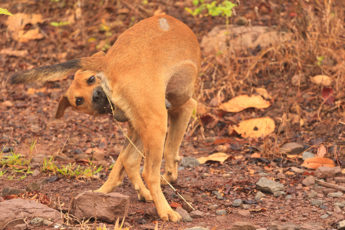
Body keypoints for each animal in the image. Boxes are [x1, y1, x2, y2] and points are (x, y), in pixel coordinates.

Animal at [10, 14, 199, 223]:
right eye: (79, 100)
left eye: (91, 79)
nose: (96, 96)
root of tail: (109, 62)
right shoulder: (184, 108)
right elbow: (171, 148)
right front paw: (171, 174)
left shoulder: (136, 127)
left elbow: (122, 163)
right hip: (157, 125)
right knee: (149, 172)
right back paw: (166, 210)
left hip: (147, 127)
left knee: (130, 161)